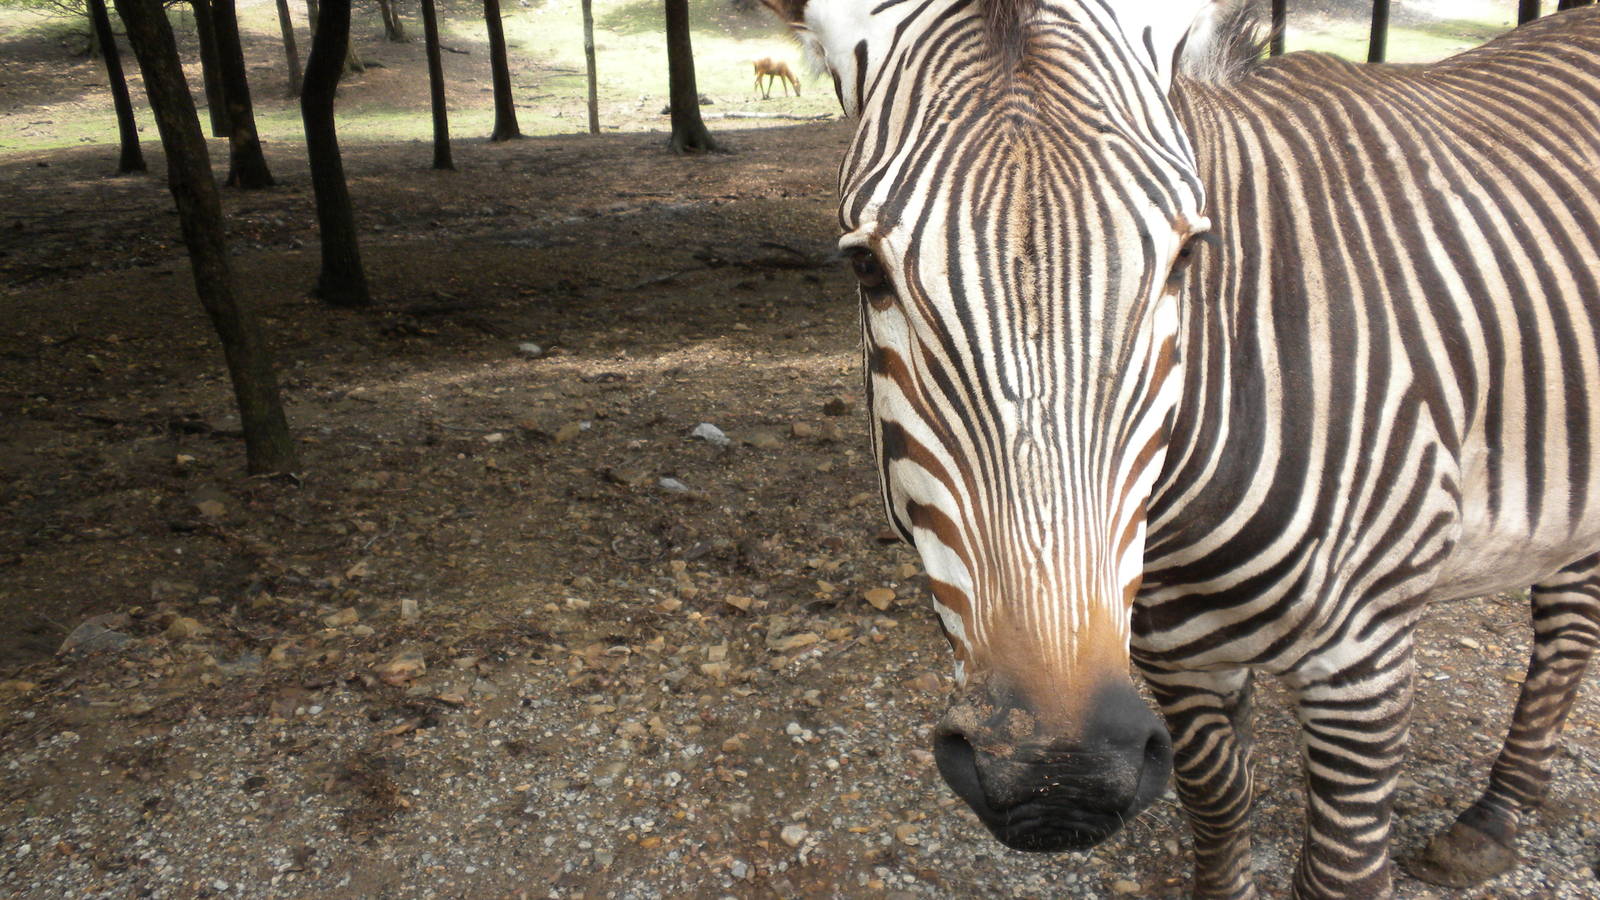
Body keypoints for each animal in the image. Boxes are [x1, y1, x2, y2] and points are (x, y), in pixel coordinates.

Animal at [761, 0, 1600, 895]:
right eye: (866, 269)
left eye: (1187, 257)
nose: (1058, 780)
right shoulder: (1174, 655)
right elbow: (1219, 799)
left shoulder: (1365, 663)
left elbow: (1336, 868)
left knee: (1567, 633)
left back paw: (1492, 818)